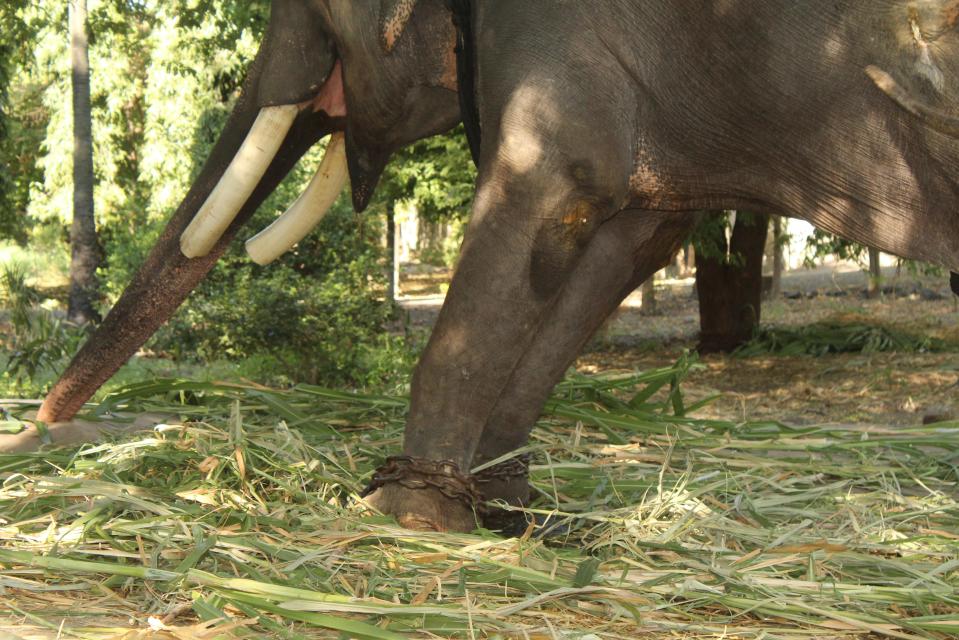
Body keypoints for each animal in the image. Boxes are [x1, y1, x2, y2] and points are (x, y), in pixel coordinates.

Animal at [41, 0, 959, 528]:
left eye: (313, 8)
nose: (45, 426)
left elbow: (550, 188)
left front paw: (403, 515)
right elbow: (631, 231)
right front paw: (500, 504)